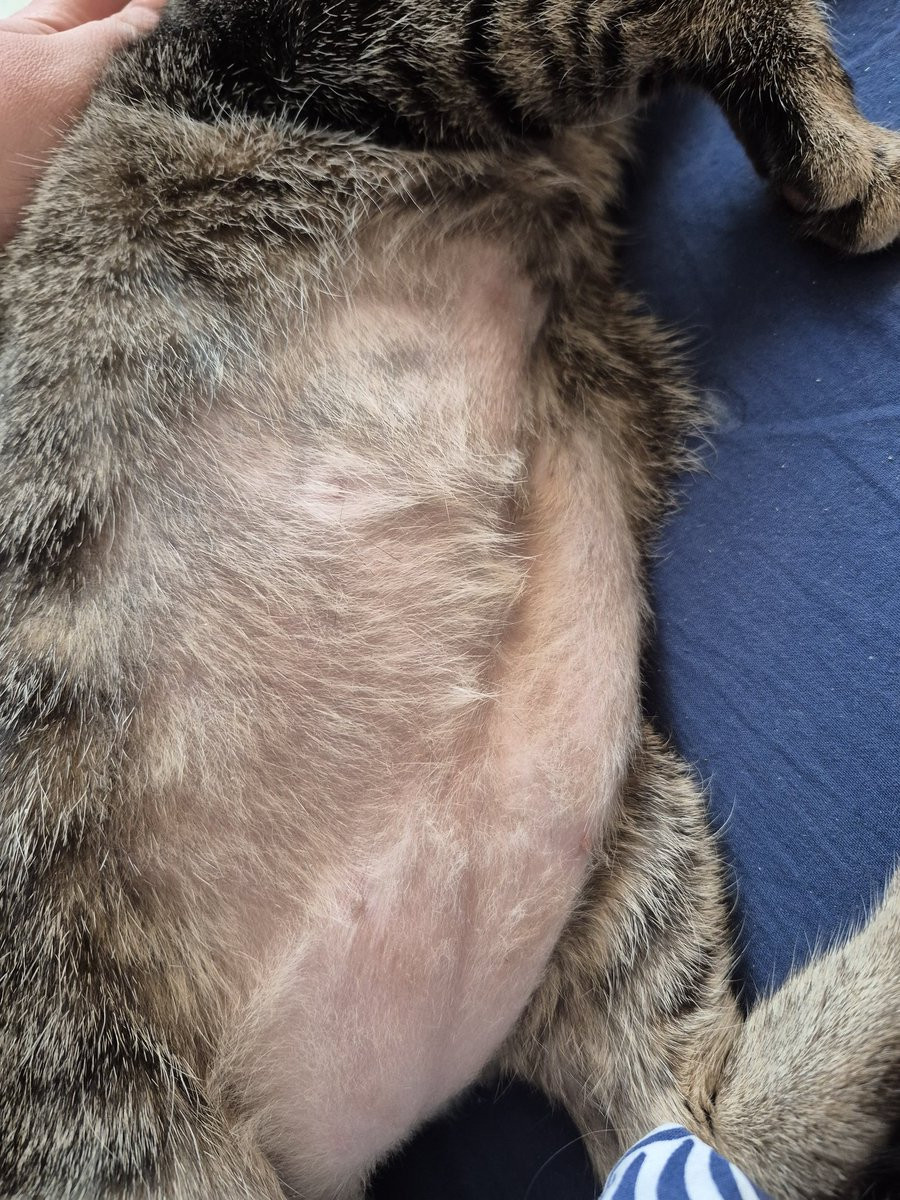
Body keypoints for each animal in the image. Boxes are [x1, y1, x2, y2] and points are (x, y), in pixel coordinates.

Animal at [0, 0, 898, 1196]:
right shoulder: (383, 39)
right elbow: (685, 16)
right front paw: (834, 141)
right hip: (116, 1115)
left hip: (631, 866)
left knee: (706, 1132)